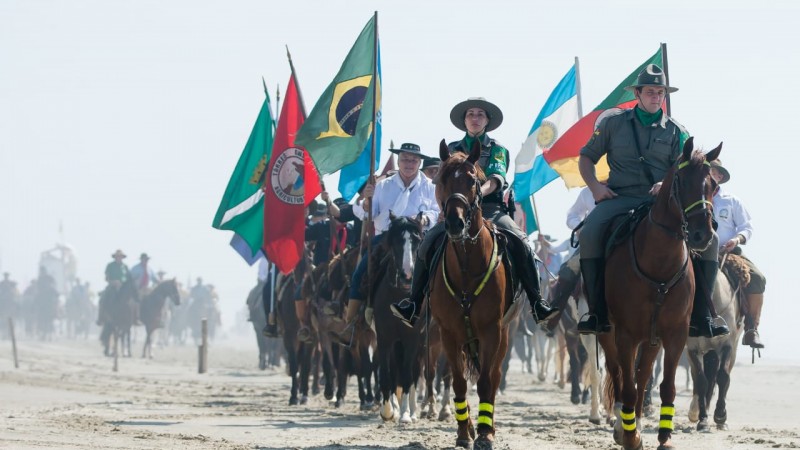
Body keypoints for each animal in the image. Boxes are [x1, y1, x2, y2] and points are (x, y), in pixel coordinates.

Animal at [428, 139, 520, 448]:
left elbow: (485, 382)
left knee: (494, 375)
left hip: (505, 333)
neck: (468, 267)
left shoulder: (492, 330)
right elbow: (458, 382)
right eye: (441, 179)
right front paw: (462, 432)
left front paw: (483, 434)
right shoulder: (448, 333)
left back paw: (487, 427)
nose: (455, 223)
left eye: (473, 181)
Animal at [596, 138, 720, 450]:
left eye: (713, 184)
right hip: (607, 331)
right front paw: (628, 436)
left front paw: (664, 437)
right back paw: (623, 425)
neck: (660, 264)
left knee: (642, 376)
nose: (702, 234)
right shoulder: (625, 334)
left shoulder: (674, 335)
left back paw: (637, 422)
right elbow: (626, 385)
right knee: (619, 374)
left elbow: (666, 387)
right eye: (681, 181)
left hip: (652, 339)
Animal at [688, 260, 744, 432]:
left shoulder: (727, 345)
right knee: (699, 377)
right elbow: (701, 380)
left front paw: (720, 416)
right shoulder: (692, 348)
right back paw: (694, 411)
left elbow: (723, 376)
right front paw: (702, 420)